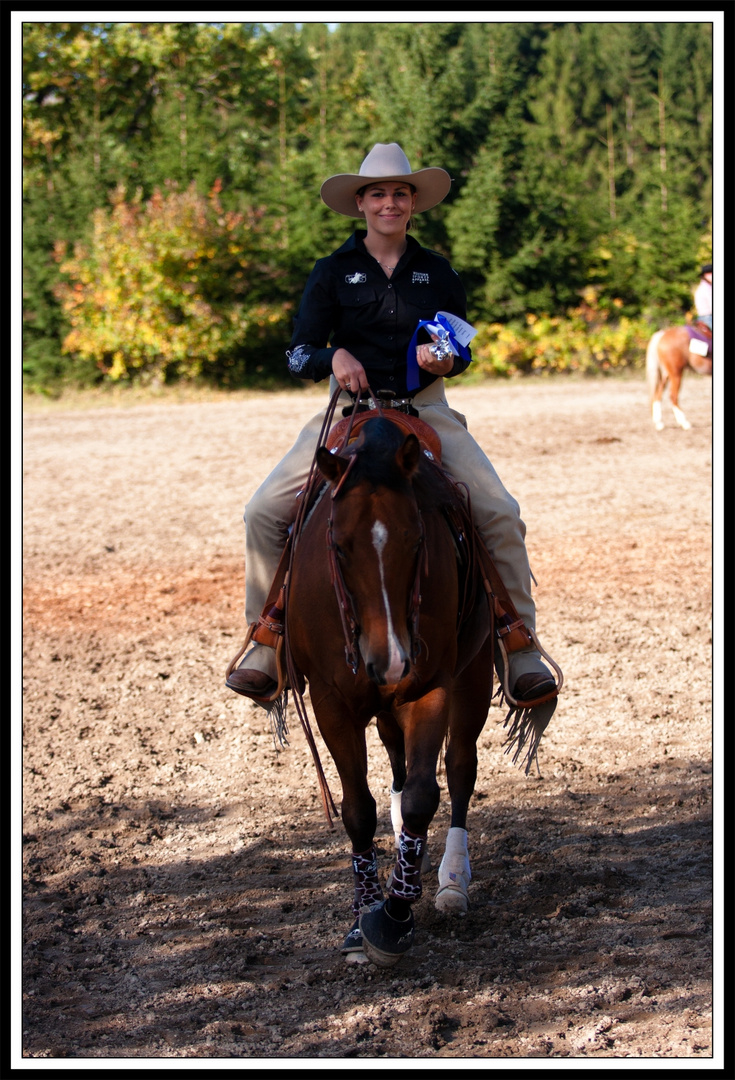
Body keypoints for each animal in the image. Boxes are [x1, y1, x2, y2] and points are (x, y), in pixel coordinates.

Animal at [282, 412, 552, 972]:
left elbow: (427, 795)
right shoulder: (331, 702)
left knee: (460, 769)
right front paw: (363, 916)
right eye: (339, 545)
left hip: (471, 676)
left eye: (415, 540)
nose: (389, 659)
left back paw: (451, 881)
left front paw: (394, 915)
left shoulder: (431, 688)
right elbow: (358, 808)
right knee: (397, 765)